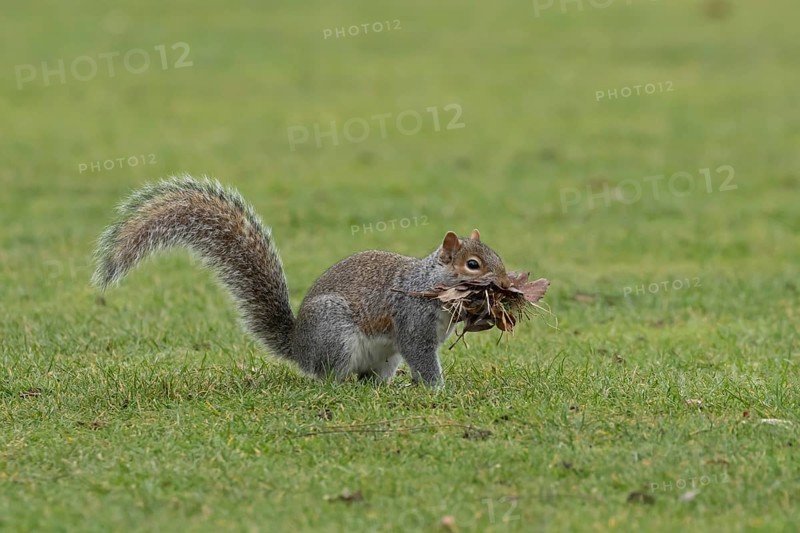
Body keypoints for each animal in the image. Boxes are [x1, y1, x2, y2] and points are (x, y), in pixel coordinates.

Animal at [92, 176, 513, 387]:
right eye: (473, 264)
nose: (505, 283)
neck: (430, 280)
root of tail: (299, 347)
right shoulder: (412, 320)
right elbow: (423, 357)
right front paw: (437, 388)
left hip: (383, 357)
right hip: (336, 335)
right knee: (328, 377)